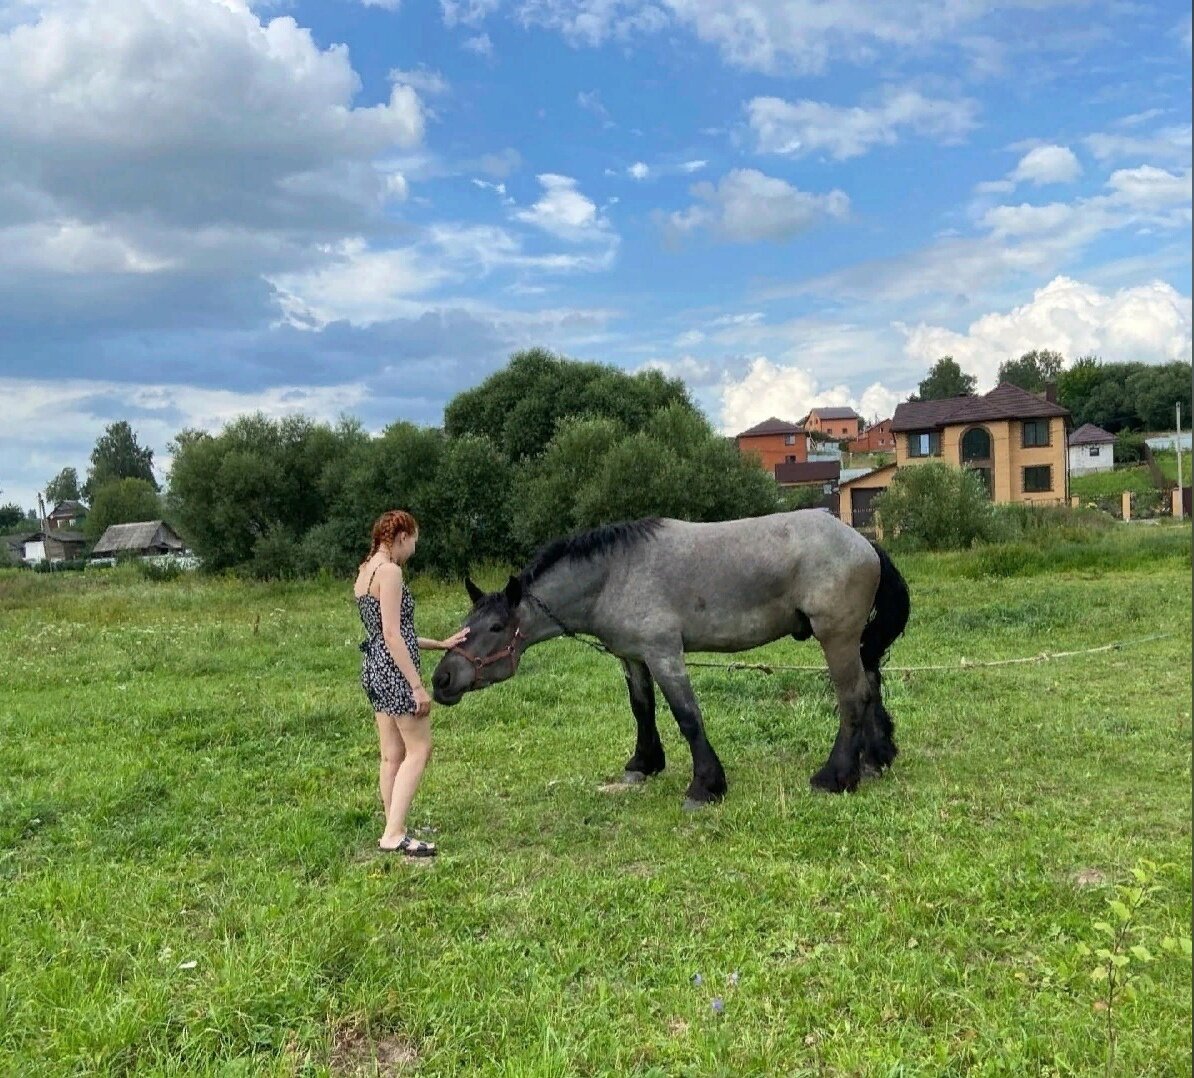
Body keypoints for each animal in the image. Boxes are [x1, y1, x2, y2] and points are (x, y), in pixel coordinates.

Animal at [434, 510, 907, 807]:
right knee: (870, 687)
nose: (442, 679)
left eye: (496, 628)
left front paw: (706, 786)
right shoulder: (634, 658)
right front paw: (643, 764)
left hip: (836, 638)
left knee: (852, 698)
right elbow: (642, 709)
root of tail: (864, 543)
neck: (614, 574)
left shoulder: (665, 654)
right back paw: (874, 759)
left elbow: (686, 715)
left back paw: (835, 776)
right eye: (465, 623)